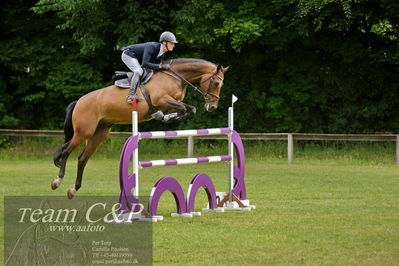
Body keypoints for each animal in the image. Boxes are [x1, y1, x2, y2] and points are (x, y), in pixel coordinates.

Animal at [51, 58, 230, 200]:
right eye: (216, 82)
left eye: (222, 84)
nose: (212, 107)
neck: (174, 77)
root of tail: (79, 101)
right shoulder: (163, 100)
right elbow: (184, 109)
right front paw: (165, 117)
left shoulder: (171, 103)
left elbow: (190, 109)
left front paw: (169, 117)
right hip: (83, 132)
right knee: (66, 151)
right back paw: (57, 181)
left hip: (99, 134)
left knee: (82, 159)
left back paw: (73, 190)